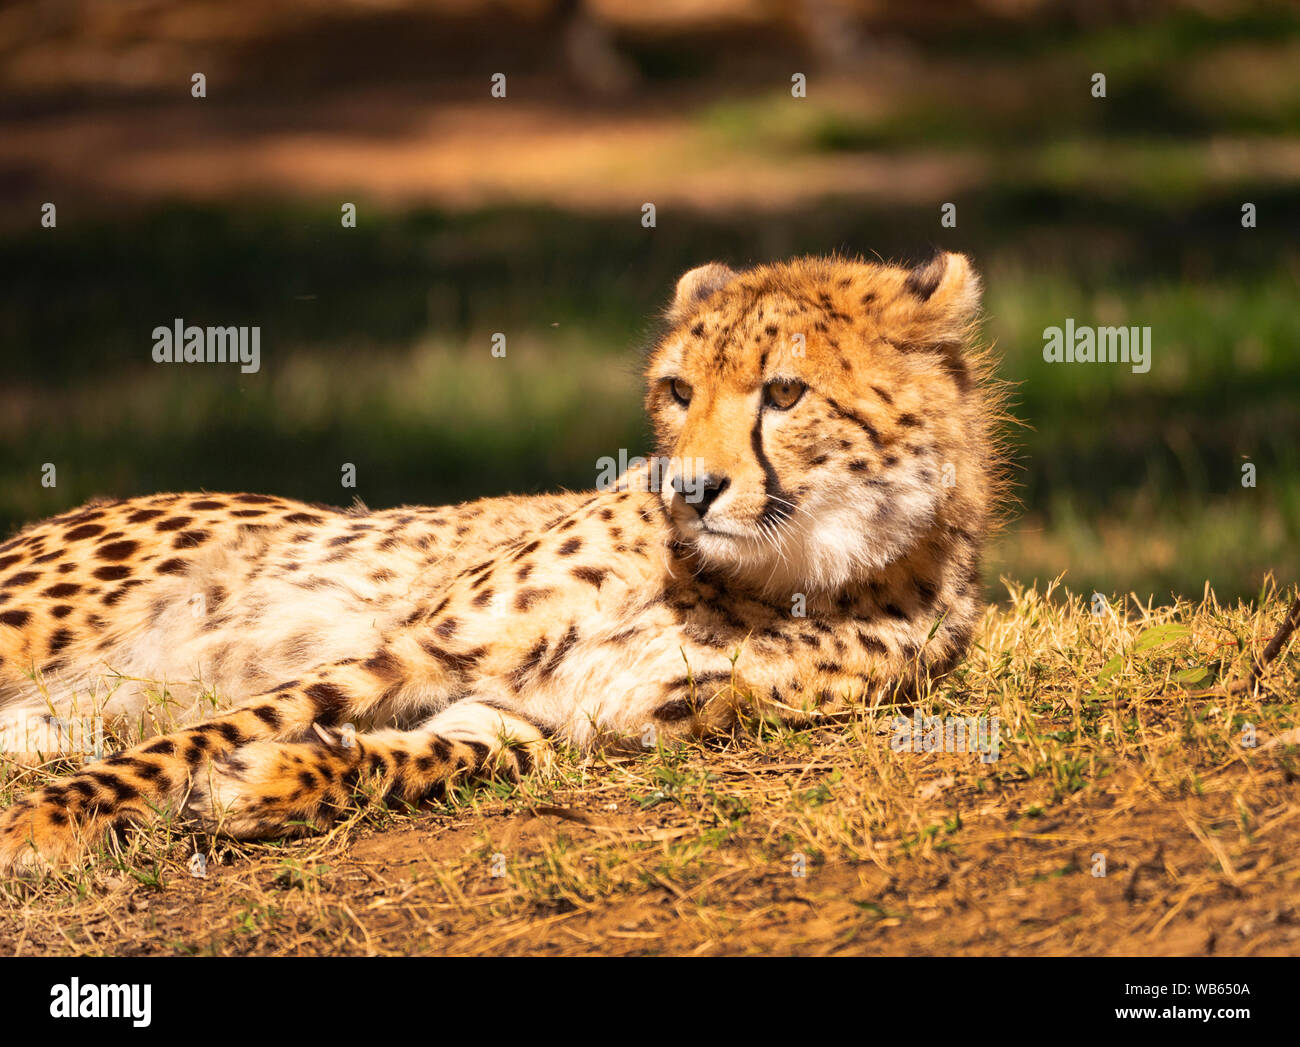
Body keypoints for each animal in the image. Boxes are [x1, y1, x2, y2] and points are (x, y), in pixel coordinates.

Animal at [0, 249, 1003, 868]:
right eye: (679, 390)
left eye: (786, 393)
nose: (687, 488)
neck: (772, 576)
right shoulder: (417, 645)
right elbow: (202, 733)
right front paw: (44, 822)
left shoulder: (563, 719)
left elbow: (427, 756)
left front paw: (277, 782)